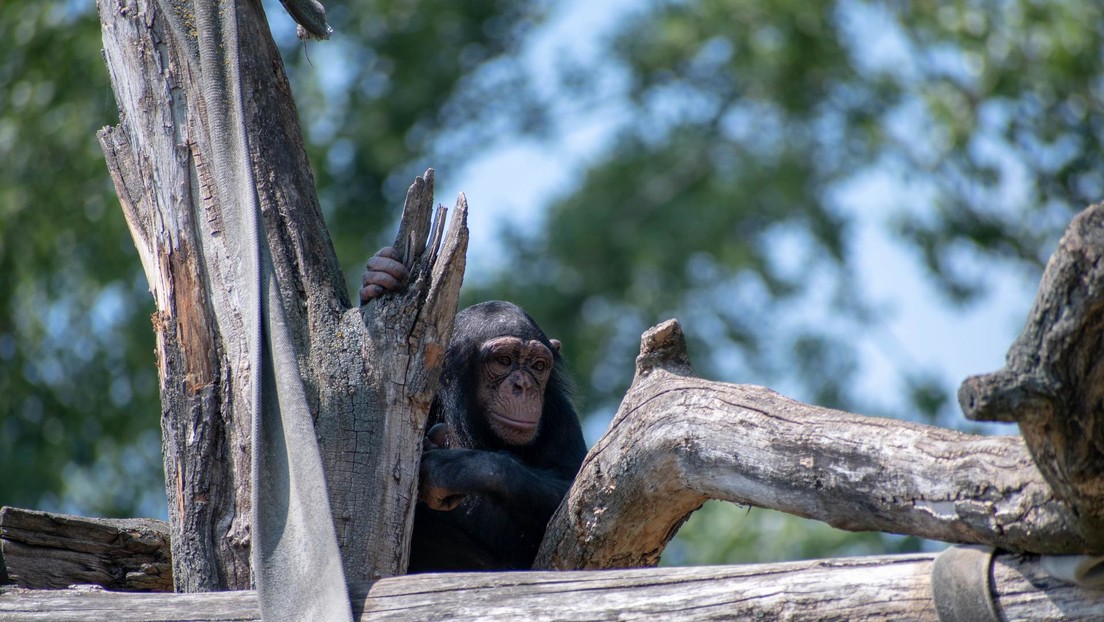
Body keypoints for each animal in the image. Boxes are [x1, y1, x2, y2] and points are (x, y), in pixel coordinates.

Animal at [359, 247, 587, 570]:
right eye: (504, 361)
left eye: (538, 366)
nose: (523, 385)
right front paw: (380, 276)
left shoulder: (562, 416)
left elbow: (576, 492)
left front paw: (459, 468)